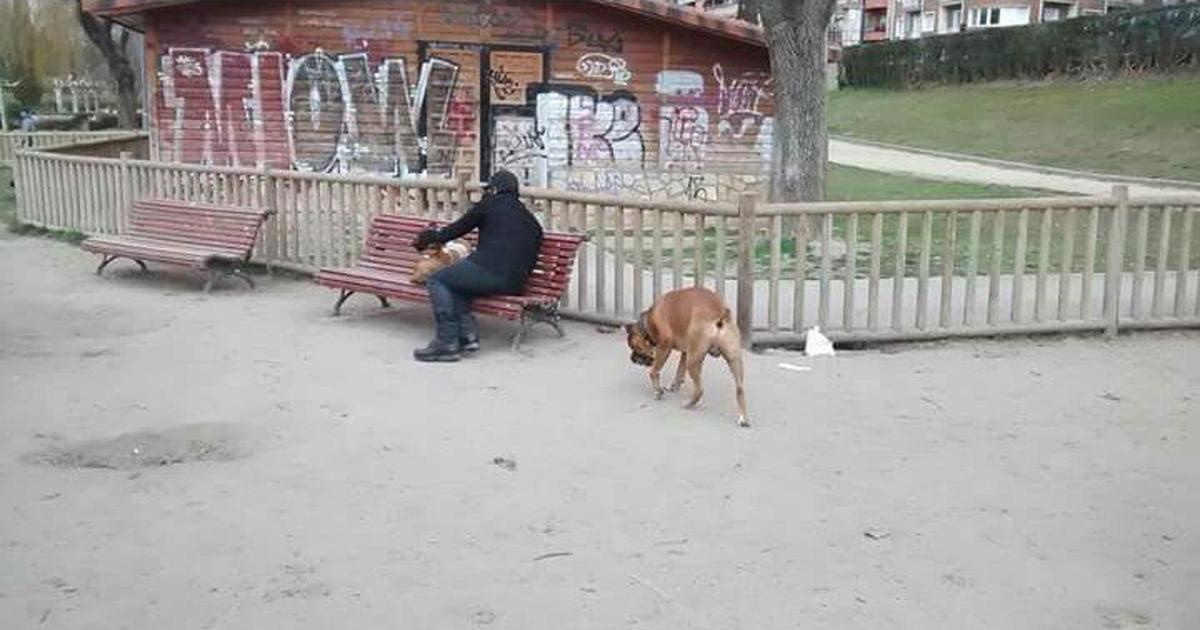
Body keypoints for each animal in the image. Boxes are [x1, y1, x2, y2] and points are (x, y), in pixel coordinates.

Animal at [628, 285, 748, 427]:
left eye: (634, 347)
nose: (631, 358)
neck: (649, 322)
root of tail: (720, 313)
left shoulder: (664, 347)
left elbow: (654, 371)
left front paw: (658, 391)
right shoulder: (686, 353)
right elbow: (679, 370)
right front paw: (674, 385)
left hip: (693, 361)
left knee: (699, 389)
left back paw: (689, 404)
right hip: (733, 358)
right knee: (739, 388)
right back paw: (743, 418)